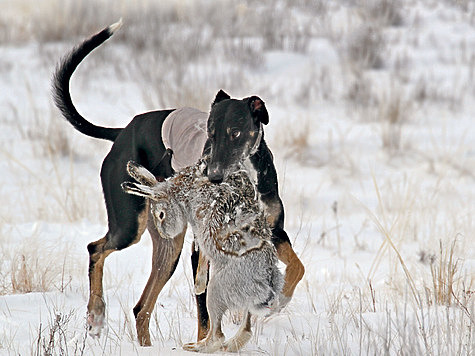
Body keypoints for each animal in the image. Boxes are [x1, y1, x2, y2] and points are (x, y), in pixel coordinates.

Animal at [53, 20, 304, 346]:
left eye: (235, 132)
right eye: (209, 133)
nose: (212, 176)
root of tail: (123, 131)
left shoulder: (272, 231)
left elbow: (297, 266)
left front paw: (279, 299)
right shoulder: (202, 249)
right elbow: (205, 312)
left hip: (168, 245)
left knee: (141, 308)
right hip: (130, 226)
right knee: (96, 248)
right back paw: (96, 315)